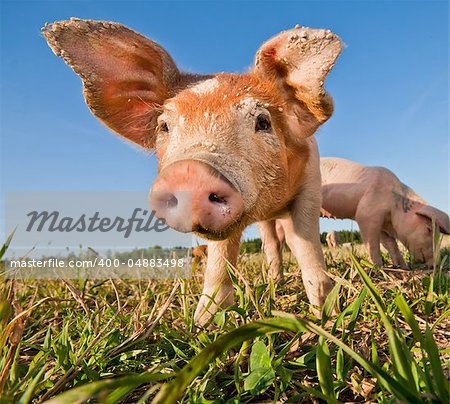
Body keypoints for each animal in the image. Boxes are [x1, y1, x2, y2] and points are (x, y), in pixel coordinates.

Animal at [44, 20, 342, 326]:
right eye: (164, 126)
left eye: (263, 121)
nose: (190, 172)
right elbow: (220, 259)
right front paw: (203, 323)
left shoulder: (310, 184)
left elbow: (306, 243)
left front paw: (327, 315)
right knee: (270, 243)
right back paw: (274, 281)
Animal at [320, 158, 450, 268]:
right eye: (429, 229)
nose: (435, 264)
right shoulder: (366, 213)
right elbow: (372, 244)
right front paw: (378, 267)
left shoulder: (383, 225)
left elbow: (391, 244)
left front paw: (404, 268)